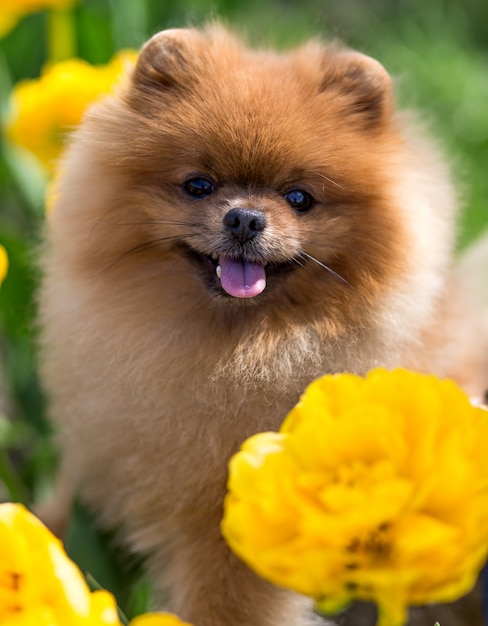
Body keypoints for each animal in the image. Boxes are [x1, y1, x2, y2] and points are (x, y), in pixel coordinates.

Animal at [39, 24, 488, 624]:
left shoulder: (232, 527)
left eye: (300, 198)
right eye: (198, 185)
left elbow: (223, 604)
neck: (241, 349)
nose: (245, 218)